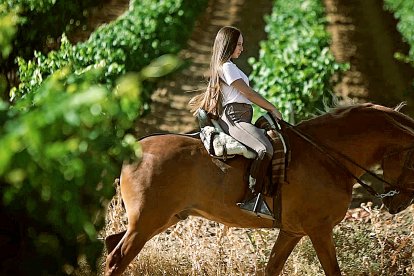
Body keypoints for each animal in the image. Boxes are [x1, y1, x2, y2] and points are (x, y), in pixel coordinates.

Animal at [103, 103, 414, 274]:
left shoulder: (292, 232)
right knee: (117, 259)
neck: (326, 155)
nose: (399, 203)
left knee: (112, 245)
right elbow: (332, 270)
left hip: (161, 220)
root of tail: (135, 148)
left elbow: (272, 268)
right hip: (147, 222)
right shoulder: (319, 230)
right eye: (413, 161)